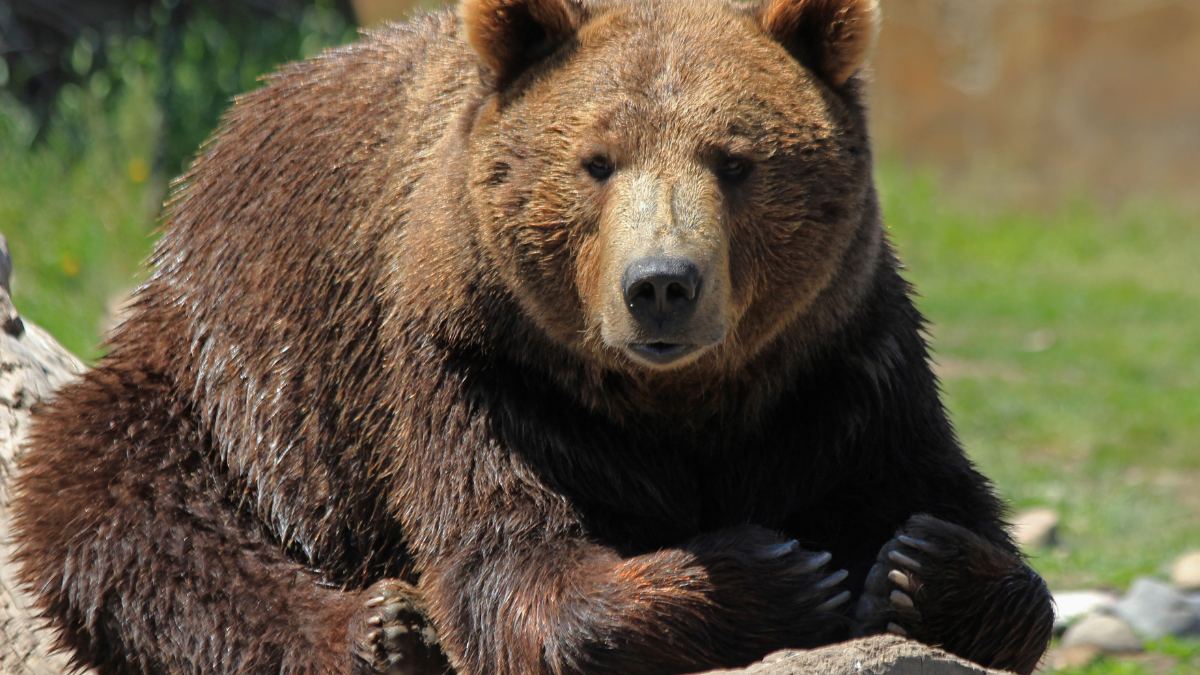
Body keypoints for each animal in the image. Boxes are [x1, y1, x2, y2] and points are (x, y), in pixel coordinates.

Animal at [11, 0, 1055, 673]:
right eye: (596, 161)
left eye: (735, 160)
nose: (661, 285)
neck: (679, 402)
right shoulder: (478, 366)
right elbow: (515, 565)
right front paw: (773, 572)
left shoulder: (840, 361)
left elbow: (949, 506)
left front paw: (922, 563)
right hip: (231, 374)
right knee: (123, 505)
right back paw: (379, 630)